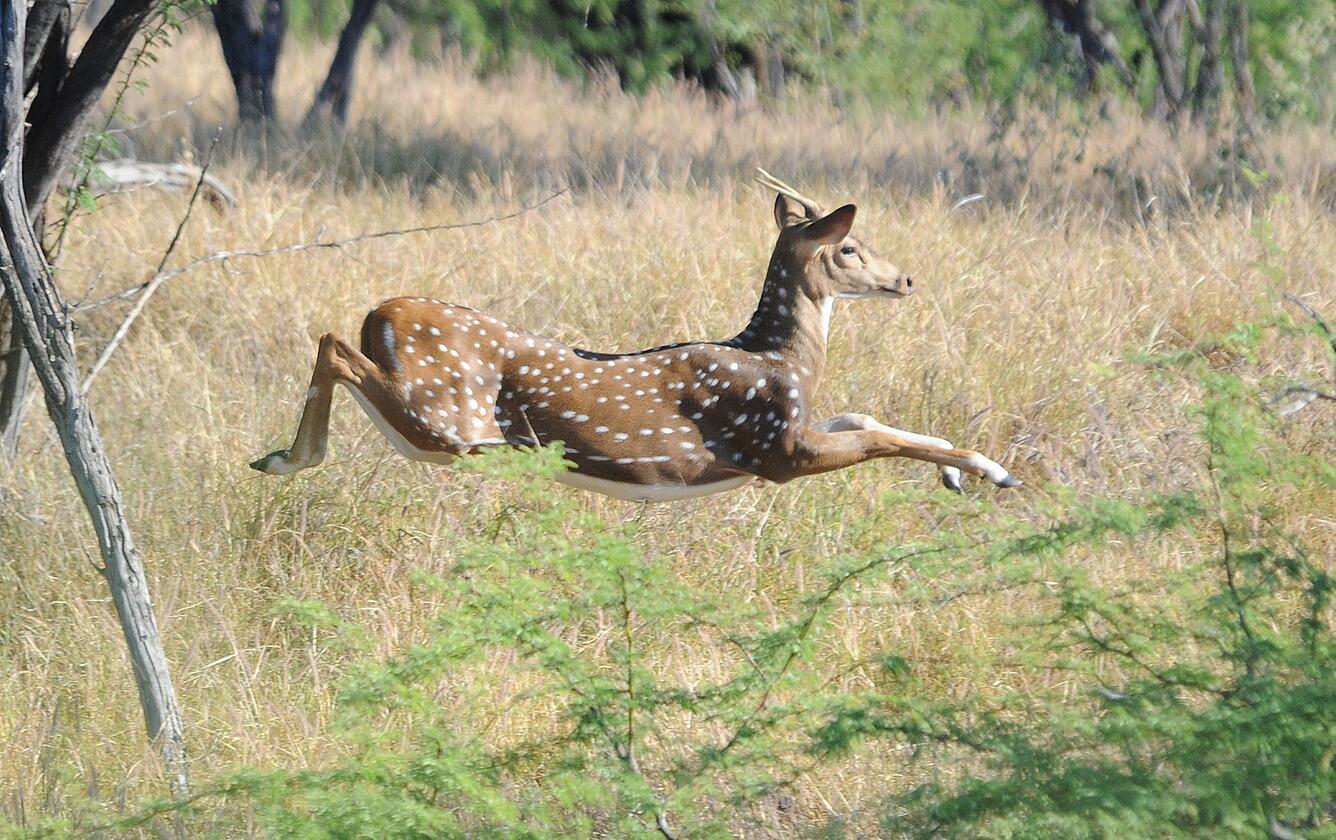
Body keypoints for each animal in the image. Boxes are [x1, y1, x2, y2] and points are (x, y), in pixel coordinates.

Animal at [250, 170, 1020, 501]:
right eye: (852, 247)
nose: (908, 279)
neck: (779, 355)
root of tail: (383, 313)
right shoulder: (774, 447)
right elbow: (880, 437)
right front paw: (991, 469)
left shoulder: (791, 430)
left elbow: (863, 415)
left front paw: (959, 473)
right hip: (448, 416)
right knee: (332, 342)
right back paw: (288, 457)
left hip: (442, 421)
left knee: (335, 345)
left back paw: (274, 456)